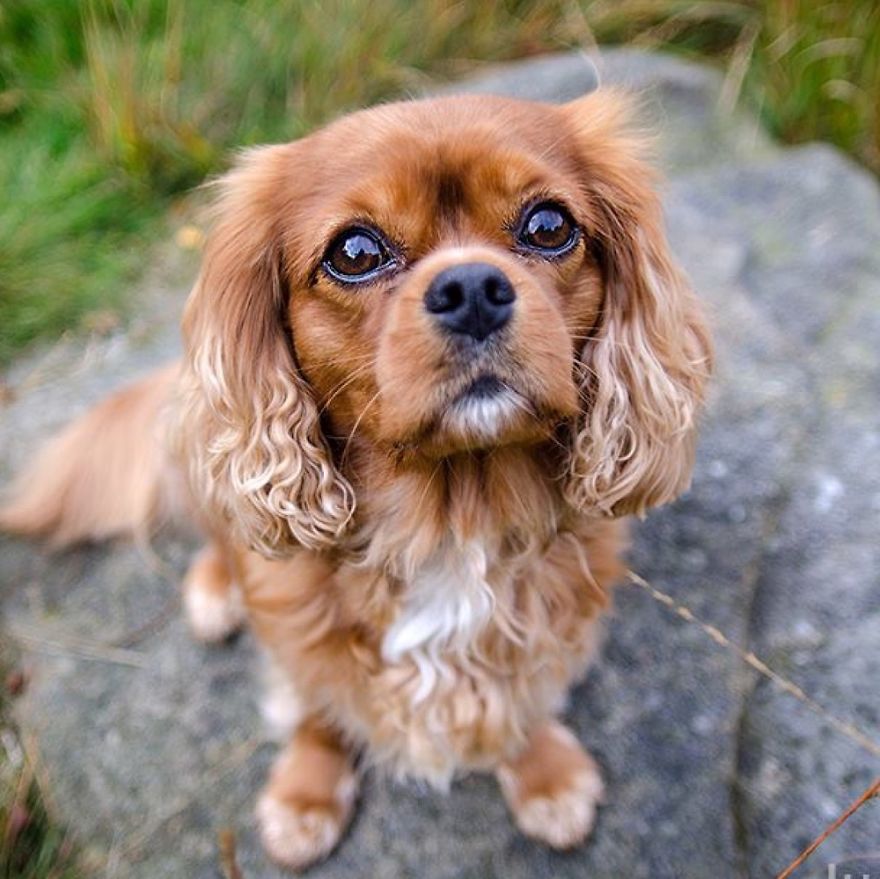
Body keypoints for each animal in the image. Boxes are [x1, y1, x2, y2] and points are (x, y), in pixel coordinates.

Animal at [1, 86, 716, 868]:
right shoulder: (297, 632)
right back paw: (215, 592)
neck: (453, 518)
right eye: (355, 251)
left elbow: (523, 697)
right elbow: (318, 706)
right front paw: (306, 793)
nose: (472, 287)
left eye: (550, 225)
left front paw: (543, 772)